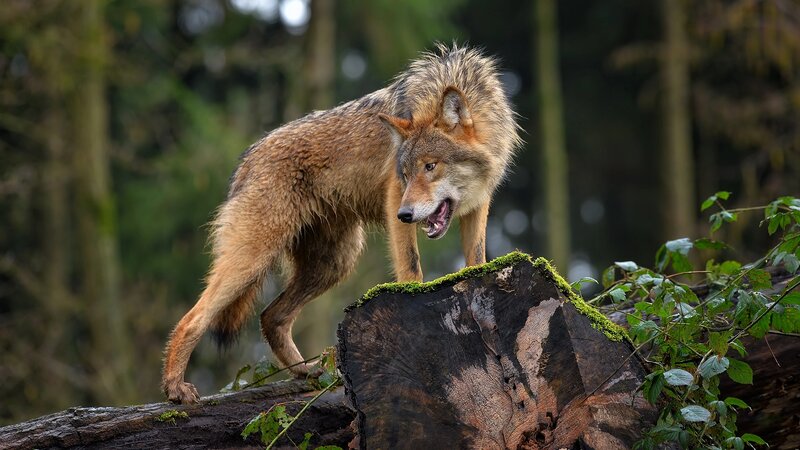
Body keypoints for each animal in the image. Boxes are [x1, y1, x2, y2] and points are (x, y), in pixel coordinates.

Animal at [162, 44, 522, 404]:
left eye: (430, 166)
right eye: (405, 174)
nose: (405, 215)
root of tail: (247, 158)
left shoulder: (479, 205)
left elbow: (477, 260)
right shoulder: (394, 196)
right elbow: (412, 269)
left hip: (334, 264)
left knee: (270, 317)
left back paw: (307, 373)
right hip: (254, 260)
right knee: (194, 319)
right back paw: (175, 387)